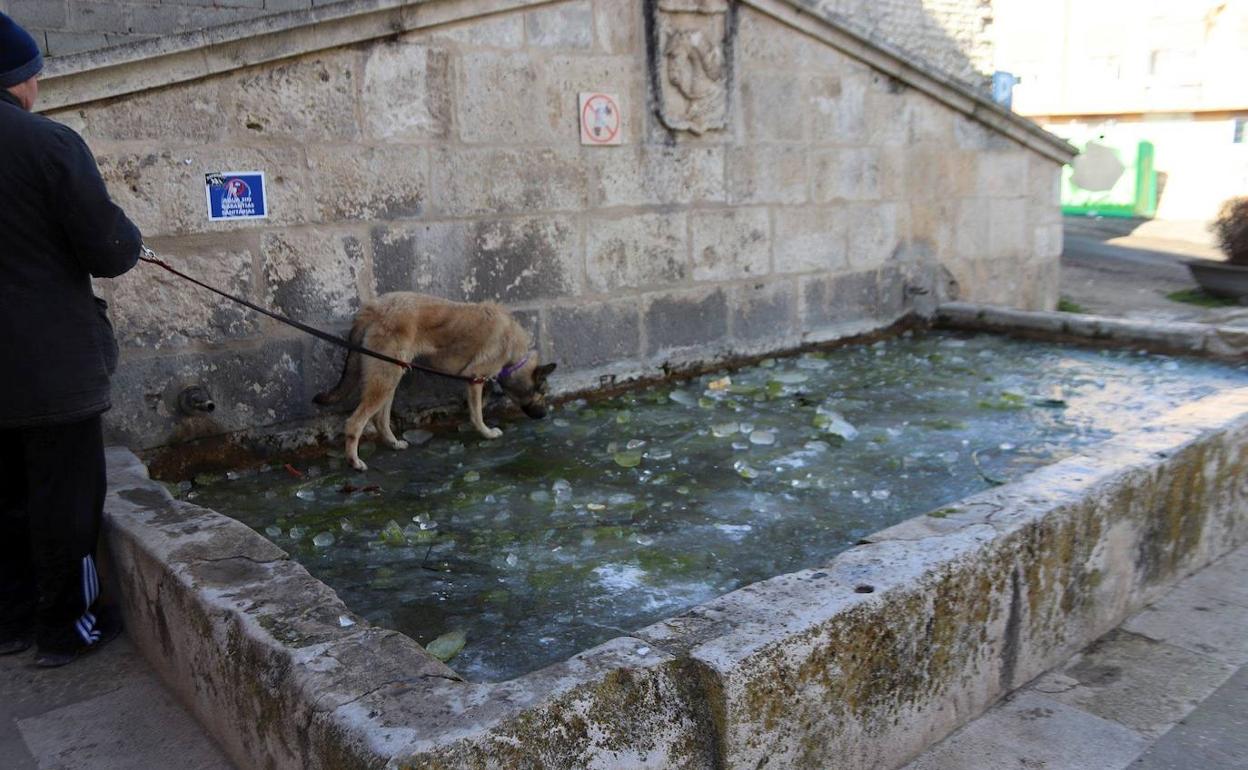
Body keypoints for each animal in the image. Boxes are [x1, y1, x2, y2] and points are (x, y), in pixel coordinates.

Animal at [316, 293, 556, 469]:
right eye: (543, 392)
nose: (545, 415)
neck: (514, 355)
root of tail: (375, 307)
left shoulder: (475, 382)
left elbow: (479, 406)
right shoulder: (475, 377)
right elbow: (477, 414)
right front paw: (487, 433)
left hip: (391, 374)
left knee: (380, 419)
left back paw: (394, 443)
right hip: (385, 378)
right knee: (355, 422)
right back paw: (354, 462)